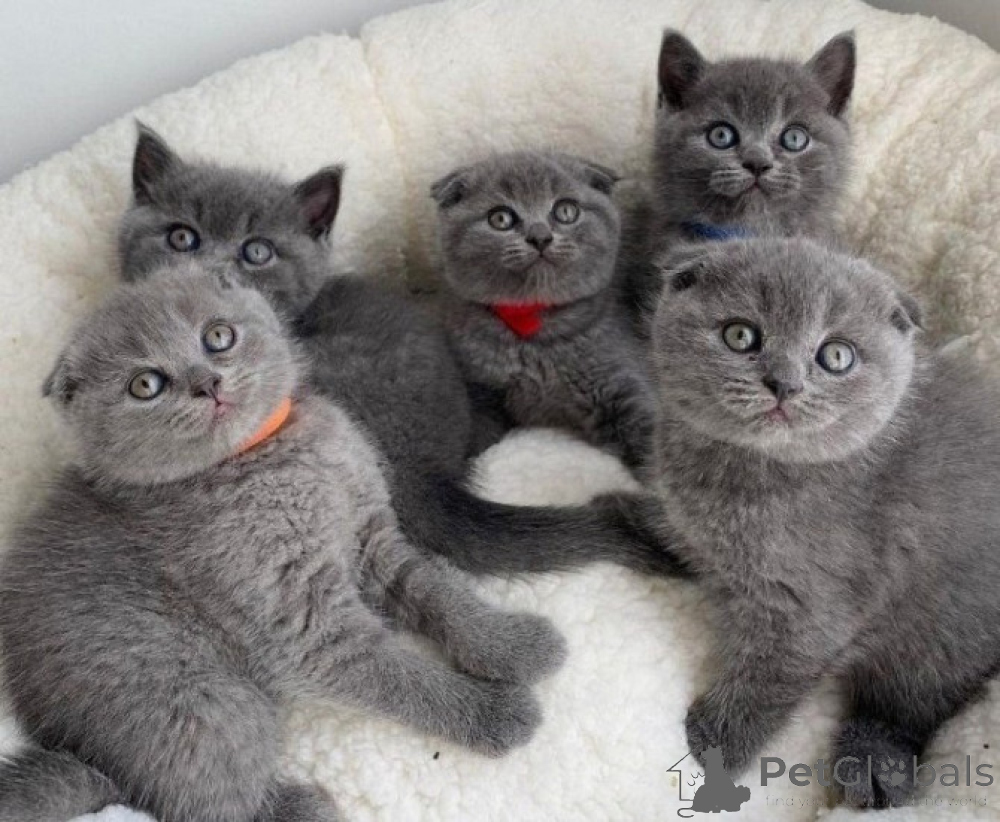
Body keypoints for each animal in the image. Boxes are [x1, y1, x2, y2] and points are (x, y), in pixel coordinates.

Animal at [0, 269, 565, 822]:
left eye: (218, 336)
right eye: (145, 385)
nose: (207, 383)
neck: (271, 455)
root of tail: (87, 756)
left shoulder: (373, 536)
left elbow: (441, 595)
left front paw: (513, 643)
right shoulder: (303, 625)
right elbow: (401, 677)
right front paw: (493, 713)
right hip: (201, 702)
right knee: (202, 799)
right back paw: (299, 808)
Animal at [432, 151, 657, 473]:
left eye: (566, 211)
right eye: (500, 218)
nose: (540, 237)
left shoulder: (624, 382)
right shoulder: (478, 388)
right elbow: (474, 432)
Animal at [645, 236, 1000, 808]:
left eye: (836, 356)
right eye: (740, 335)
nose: (784, 384)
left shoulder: (812, 604)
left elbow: (770, 677)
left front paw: (713, 742)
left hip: (945, 624)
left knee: (911, 702)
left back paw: (873, 763)